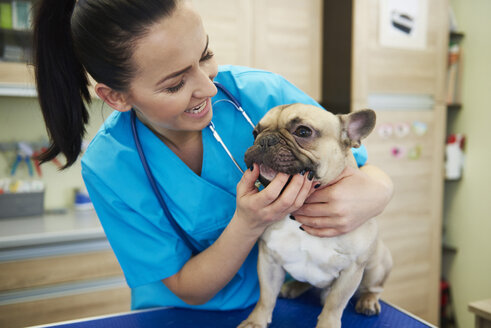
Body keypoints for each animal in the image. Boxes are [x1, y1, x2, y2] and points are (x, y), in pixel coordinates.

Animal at [238, 103, 392, 328]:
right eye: (254, 133)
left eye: (303, 132)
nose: (265, 140)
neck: (298, 213)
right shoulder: (268, 260)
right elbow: (265, 296)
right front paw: (255, 322)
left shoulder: (351, 271)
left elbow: (334, 305)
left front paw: (328, 324)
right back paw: (292, 287)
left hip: (377, 266)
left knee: (374, 287)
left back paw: (368, 301)